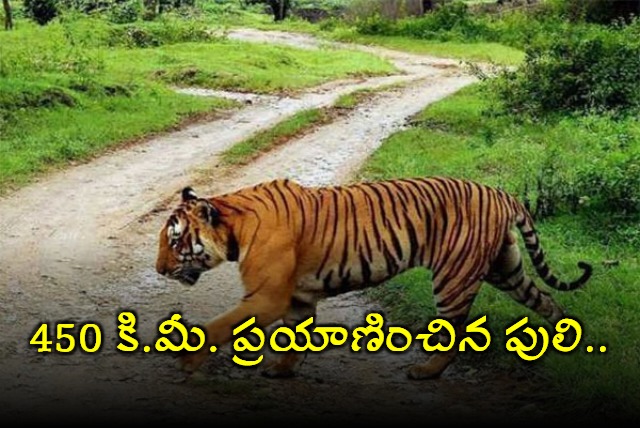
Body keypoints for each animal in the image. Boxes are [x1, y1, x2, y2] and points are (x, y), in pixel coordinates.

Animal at [155, 177, 592, 379]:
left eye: (175, 241)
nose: (158, 270)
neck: (235, 226)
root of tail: (501, 192)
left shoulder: (267, 297)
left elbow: (219, 327)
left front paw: (187, 359)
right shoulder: (297, 298)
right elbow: (294, 337)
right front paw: (282, 370)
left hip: (454, 276)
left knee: (454, 331)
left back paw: (426, 371)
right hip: (507, 268)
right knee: (547, 301)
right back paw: (565, 345)